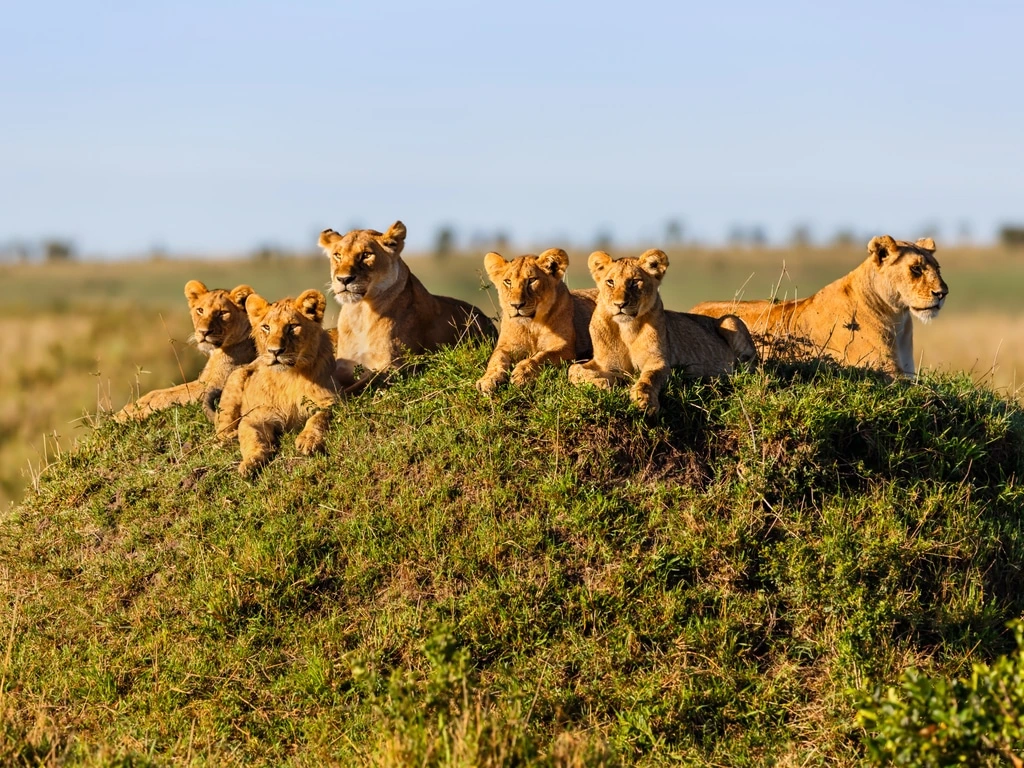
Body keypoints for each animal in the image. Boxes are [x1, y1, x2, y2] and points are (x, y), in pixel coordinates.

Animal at [116, 280, 255, 422]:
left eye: (223, 312)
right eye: (200, 310)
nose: (203, 332)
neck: (217, 351)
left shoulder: (215, 386)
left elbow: (165, 396)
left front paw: (130, 414)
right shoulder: (202, 381)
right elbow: (161, 391)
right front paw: (128, 409)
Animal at [215, 289, 339, 477]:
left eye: (292, 327)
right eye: (266, 327)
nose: (275, 351)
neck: (287, 377)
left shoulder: (330, 401)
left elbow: (318, 419)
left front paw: (308, 440)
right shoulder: (254, 416)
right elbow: (251, 438)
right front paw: (250, 462)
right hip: (236, 377)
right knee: (222, 430)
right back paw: (228, 438)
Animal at [318, 221, 496, 388]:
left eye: (366, 255)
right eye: (338, 255)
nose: (344, 279)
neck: (359, 313)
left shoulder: (396, 368)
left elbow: (357, 388)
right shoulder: (343, 367)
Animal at [475, 248, 598, 394]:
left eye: (532, 280)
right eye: (508, 281)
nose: (516, 305)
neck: (531, 325)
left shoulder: (566, 348)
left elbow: (542, 356)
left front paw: (522, 374)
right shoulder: (506, 346)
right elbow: (496, 359)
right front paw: (488, 379)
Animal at [568, 250, 757, 415]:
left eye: (634, 282)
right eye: (610, 282)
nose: (620, 304)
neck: (626, 329)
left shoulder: (658, 361)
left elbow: (649, 378)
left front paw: (644, 401)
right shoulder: (605, 364)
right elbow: (574, 369)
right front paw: (601, 383)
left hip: (731, 320)